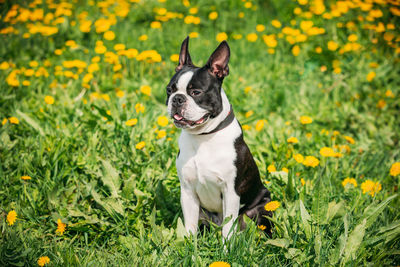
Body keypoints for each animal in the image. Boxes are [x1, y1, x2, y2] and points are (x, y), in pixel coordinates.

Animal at [165, 36, 272, 240]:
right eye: (169, 90)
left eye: (196, 92)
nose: (177, 99)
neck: (203, 137)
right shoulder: (187, 191)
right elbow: (190, 226)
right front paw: (188, 245)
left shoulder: (231, 192)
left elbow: (228, 228)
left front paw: (226, 248)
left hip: (262, 206)